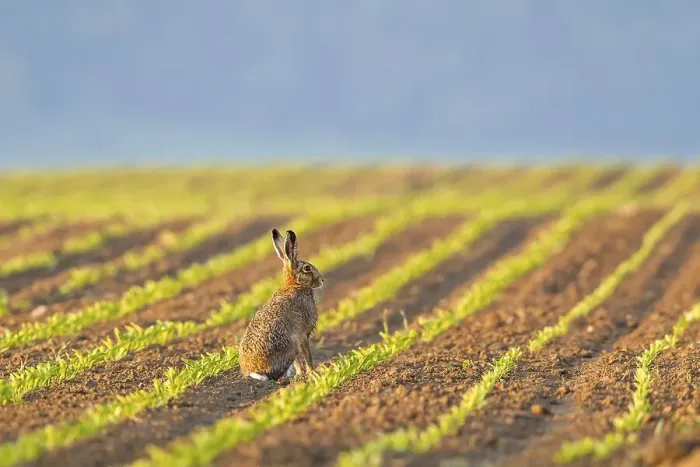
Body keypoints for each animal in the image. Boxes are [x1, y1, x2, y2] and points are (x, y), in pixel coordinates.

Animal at [239, 228, 324, 381]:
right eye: (307, 268)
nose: (321, 280)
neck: (295, 284)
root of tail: (254, 371)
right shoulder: (302, 335)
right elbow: (307, 356)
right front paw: (314, 373)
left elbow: (298, 362)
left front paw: (301, 374)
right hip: (288, 347)